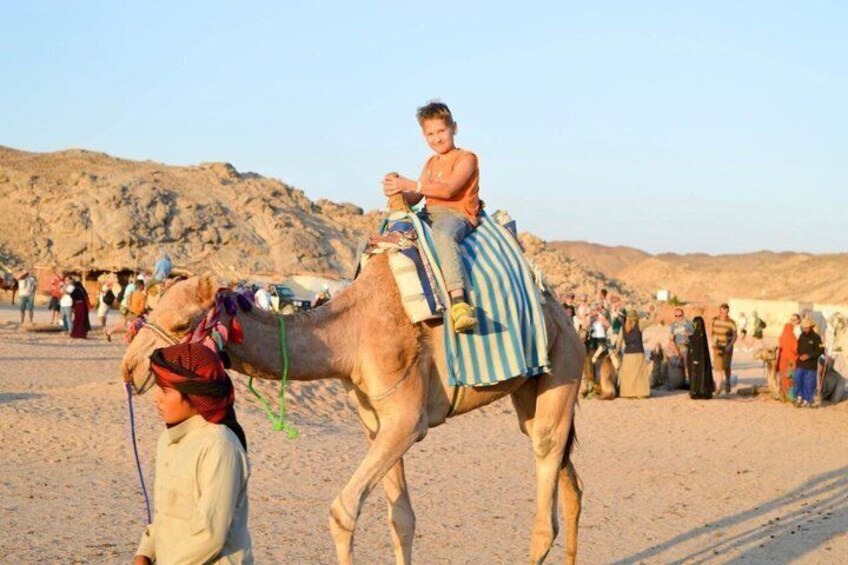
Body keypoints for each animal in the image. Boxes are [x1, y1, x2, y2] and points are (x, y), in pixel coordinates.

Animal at [121, 254, 585, 564]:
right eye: (151, 308)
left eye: (181, 323)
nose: (130, 367)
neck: (350, 334)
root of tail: (564, 315)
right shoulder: (377, 424)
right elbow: (401, 519)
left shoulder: (407, 419)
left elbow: (342, 511)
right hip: (530, 395)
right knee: (569, 480)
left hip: (564, 364)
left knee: (546, 497)